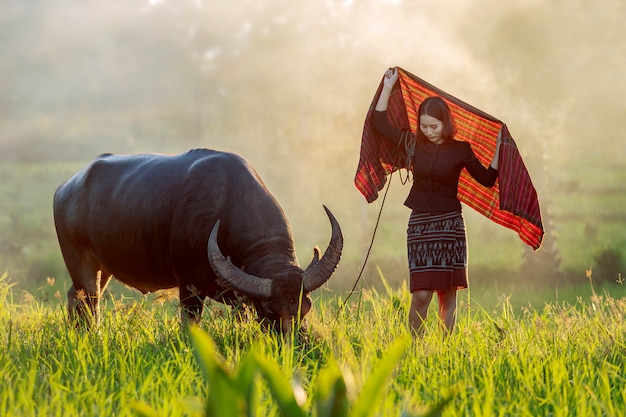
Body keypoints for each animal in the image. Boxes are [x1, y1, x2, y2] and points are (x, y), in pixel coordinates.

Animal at [53, 149, 342, 332]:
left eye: (305, 308)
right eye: (270, 311)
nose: (298, 343)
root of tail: (65, 188)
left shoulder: (241, 301)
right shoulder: (189, 286)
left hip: (103, 269)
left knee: (77, 298)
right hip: (80, 262)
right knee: (88, 303)